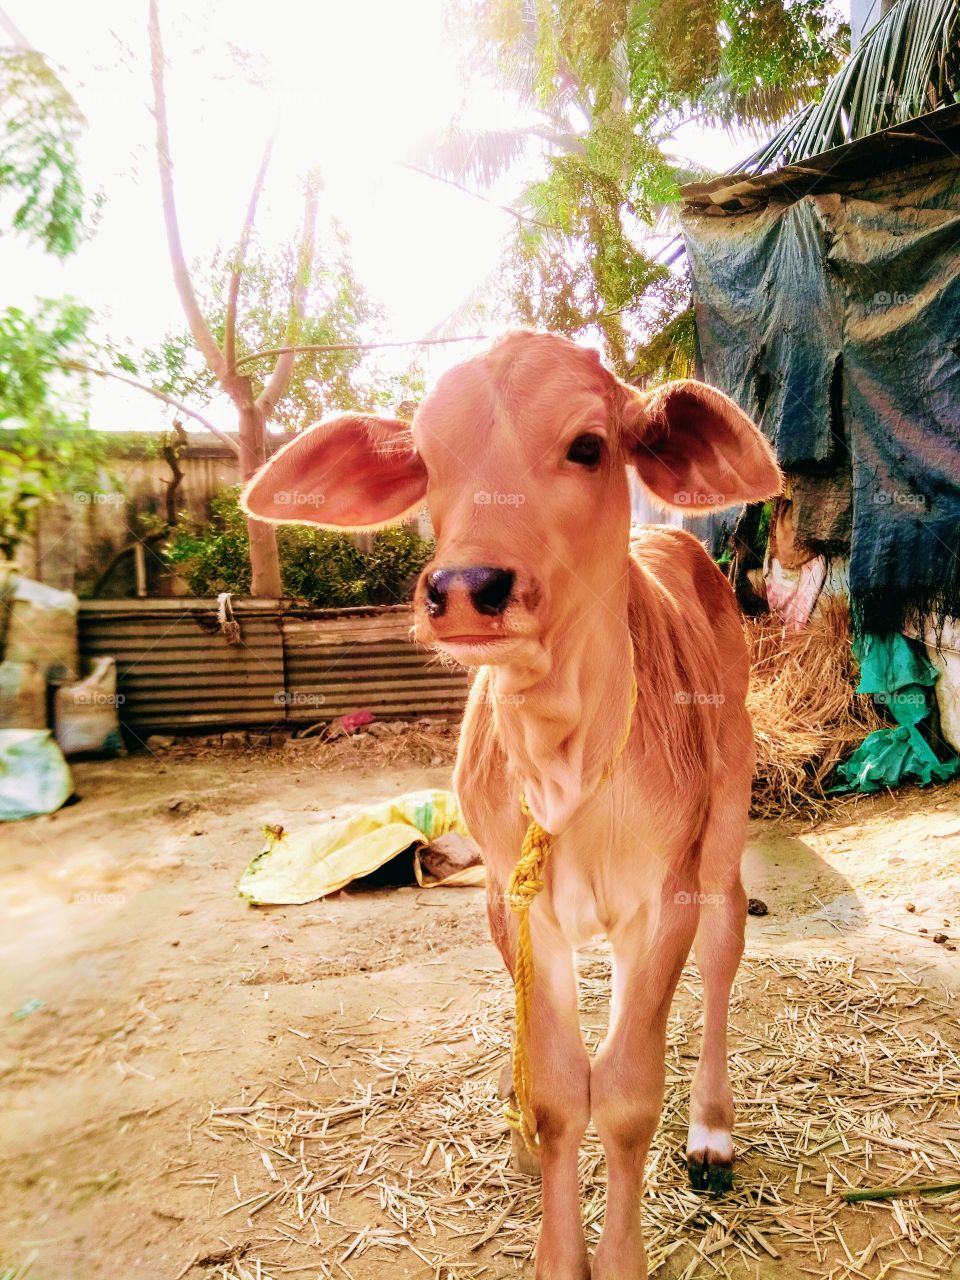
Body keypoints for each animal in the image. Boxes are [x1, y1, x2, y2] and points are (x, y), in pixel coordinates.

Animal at [242, 331, 781, 1280]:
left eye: (589, 445)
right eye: (426, 460)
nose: (466, 586)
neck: (562, 754)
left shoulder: (662, 898)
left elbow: (628, 1093)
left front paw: (620, 1256)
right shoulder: (517, 898)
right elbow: (565, 1091)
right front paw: (555, 1232)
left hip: (725, 812)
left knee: (724, 950)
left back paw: (712, 1130)